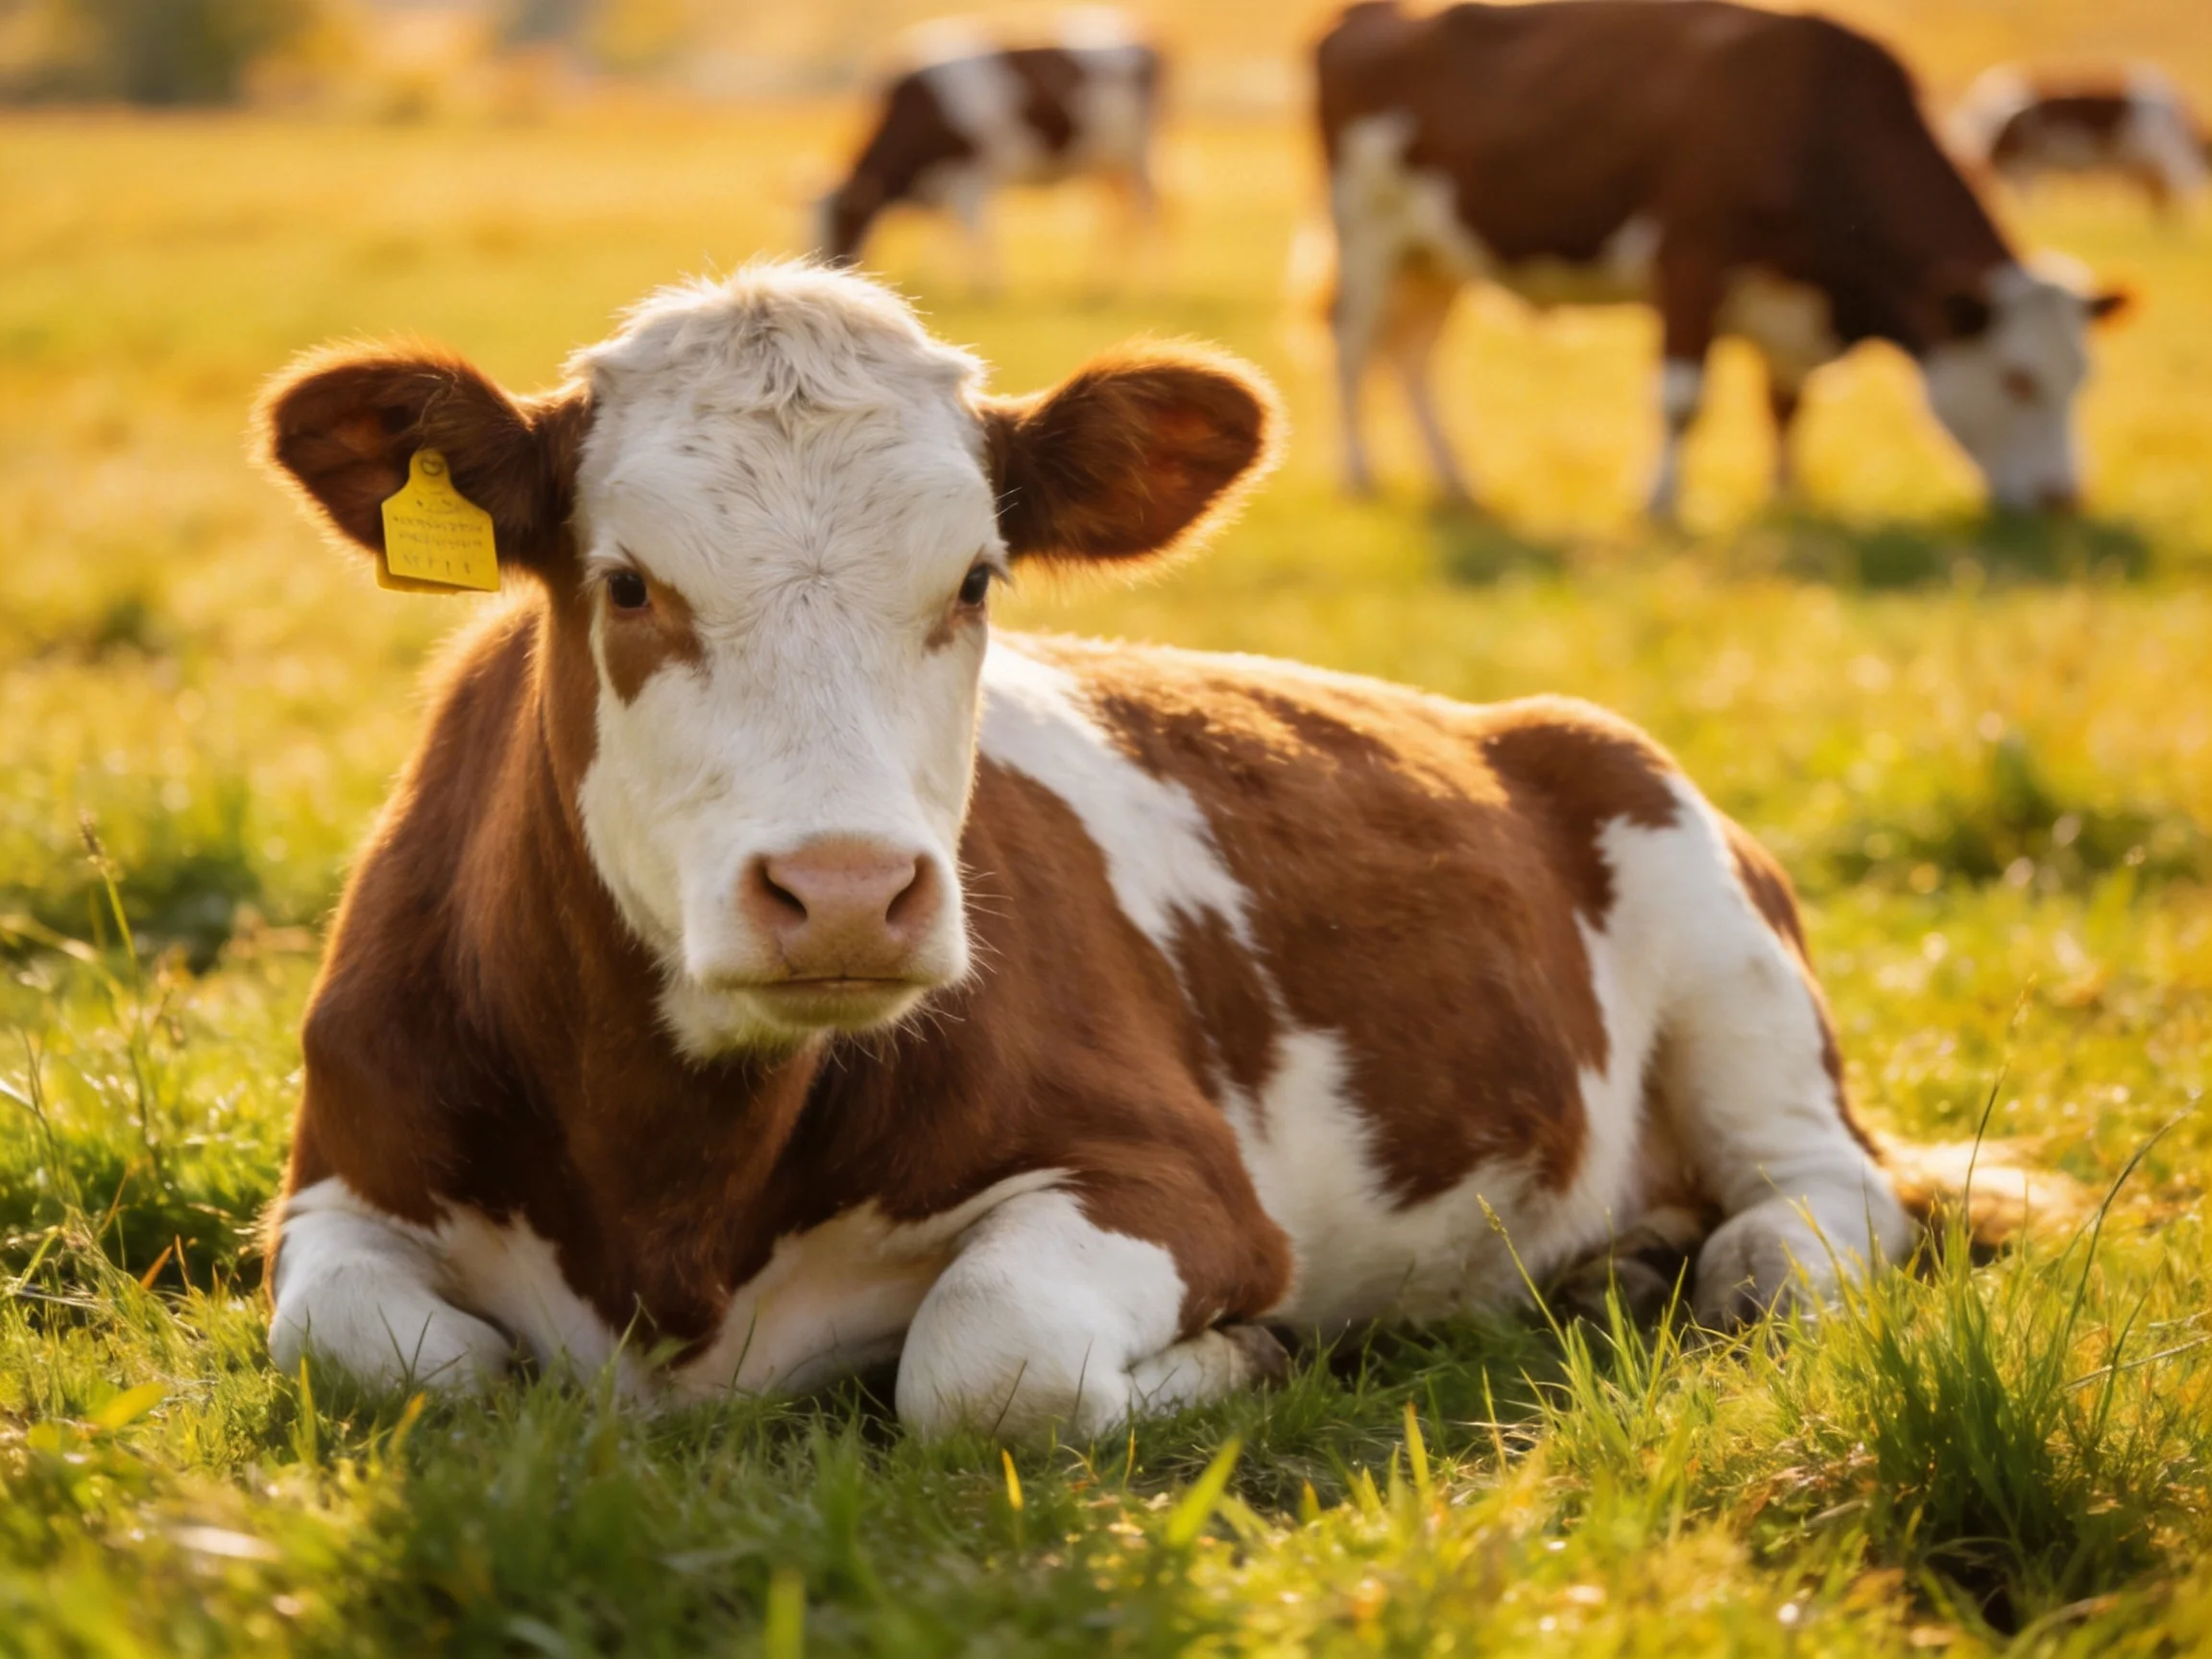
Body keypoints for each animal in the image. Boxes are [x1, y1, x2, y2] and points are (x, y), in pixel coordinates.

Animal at [257, 260, 1912, 1440]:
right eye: (628, 583)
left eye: (977, 579)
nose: (845, 893)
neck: (674, 1198)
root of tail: (1531, 723)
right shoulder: (339, 1184)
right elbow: (377, 1353)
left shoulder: (1178, 1184)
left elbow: (987, 1360)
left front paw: (1243, 1356)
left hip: (1719, 944)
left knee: (1824, 1197)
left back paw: (1725, 1268)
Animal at [814, 10, 1161, 282]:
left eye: (845, 222)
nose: (826, 271)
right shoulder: (943, 185)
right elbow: (947, 234)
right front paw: (941, 281)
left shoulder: (971, 172)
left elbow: (976, 233)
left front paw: (986, 287)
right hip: (1106, 164)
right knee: (1115, 215)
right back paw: (1099, 280)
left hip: (1137, 155)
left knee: (1144, 210)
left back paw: (1141, 280)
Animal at [1314, 0, 2131, 517]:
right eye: (2019, 379)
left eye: (2083, 378)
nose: (2064, 498)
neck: (1814, 118)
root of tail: (1361, 18)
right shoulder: (1691, 259)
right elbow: (1682, 396)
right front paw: (1660, 503)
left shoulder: (1789, 301)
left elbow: (1786, 404)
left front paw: (1788, 495)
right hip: (1367, 233)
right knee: (1352, 346)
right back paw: (1359, 474)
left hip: (1434, 255)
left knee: (1412, 356)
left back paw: (1456, 483)